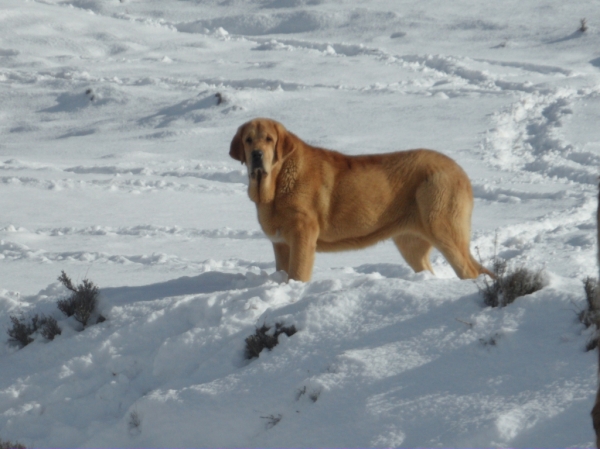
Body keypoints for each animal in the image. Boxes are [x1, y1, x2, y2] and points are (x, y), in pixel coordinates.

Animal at [230, 117, 492, 282]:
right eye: (248, 140)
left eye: (269, 139)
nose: (257, 155)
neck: (277, 182)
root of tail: (459, 170)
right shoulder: (281, 244)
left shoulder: (302, 236)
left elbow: (298, 275)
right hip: (410, 242)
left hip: (442, 228)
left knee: (469, 270)